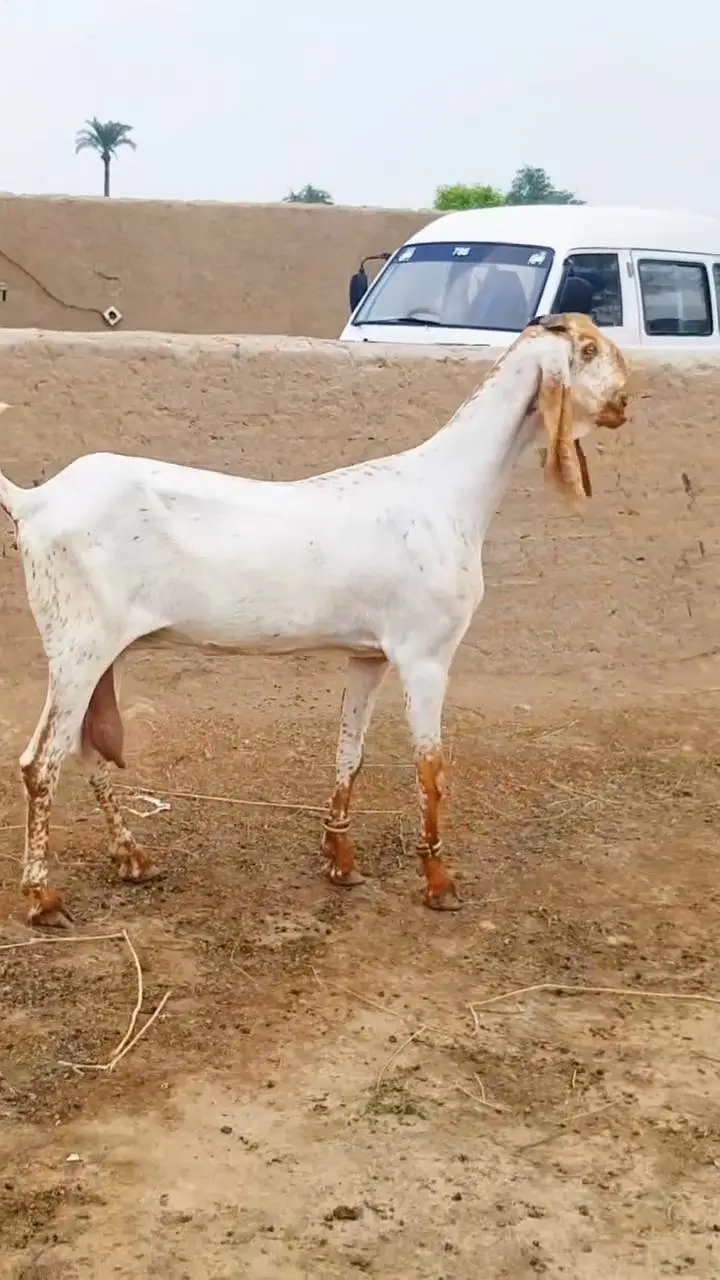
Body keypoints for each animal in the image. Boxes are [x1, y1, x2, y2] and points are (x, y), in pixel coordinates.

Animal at [0, 313, 629, 927]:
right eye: (589, 349)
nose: (625, 402)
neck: (448, 492)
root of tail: (35, 501)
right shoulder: (425, 655)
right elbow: (430, 768)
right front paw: (439, 884)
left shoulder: (369, 655)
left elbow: (350, 751)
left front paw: (341, 861)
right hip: (79, 647)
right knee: (40, 763)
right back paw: (43, 898)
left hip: (98, 653)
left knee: (85, 751)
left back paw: (133, 858)